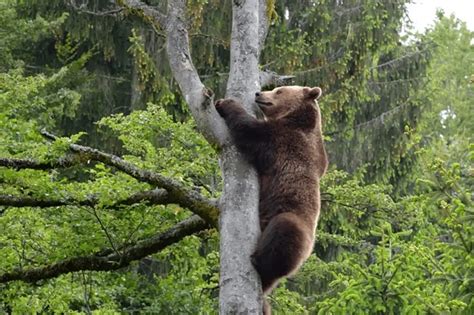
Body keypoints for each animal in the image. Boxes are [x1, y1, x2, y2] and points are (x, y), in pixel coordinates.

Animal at [214, 85, 328, 314]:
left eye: (279, 90)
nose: (259, 94)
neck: (299, 120)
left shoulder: (283, 140)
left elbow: (249, 129)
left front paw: (225, 103)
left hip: (294, 223)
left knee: (285, 231)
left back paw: (259, 261)